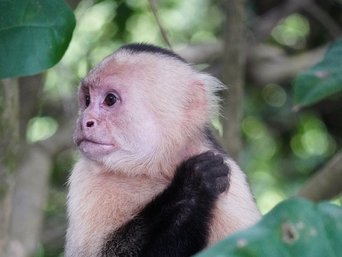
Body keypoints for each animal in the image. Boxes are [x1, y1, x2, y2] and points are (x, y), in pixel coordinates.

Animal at [65, 43, 260, 255]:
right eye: (87, 100)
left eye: (110, 99)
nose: (84, 121)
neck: (154, 169)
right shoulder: (84, 178)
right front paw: (192, 186)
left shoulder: (234, 187)